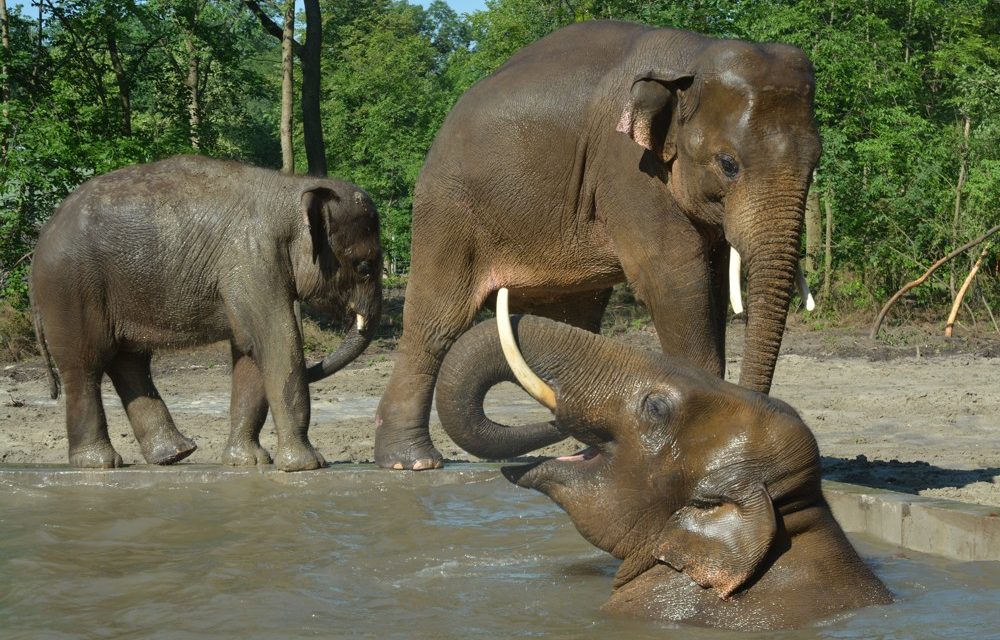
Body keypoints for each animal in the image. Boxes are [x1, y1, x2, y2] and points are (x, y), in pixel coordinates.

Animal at [31, 155, 382, 470]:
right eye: (364, 266)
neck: (293, 188)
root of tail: (40, 240)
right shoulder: (252, 260)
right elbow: (276, 344)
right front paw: (308, 466)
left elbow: (250, 350)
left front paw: (248, 462)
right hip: (70, 290)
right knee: (85, 366)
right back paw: (100, 463)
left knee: (129, 362)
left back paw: (175, 454)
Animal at [376, 20, 820, 470]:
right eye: (728, 164)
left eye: (816, 163)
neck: (692, 57)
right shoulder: (626, 168)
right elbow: (677, 278)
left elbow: (710, 282)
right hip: (448, 208)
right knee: (437, 322)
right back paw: (412, 462)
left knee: (575, 318)